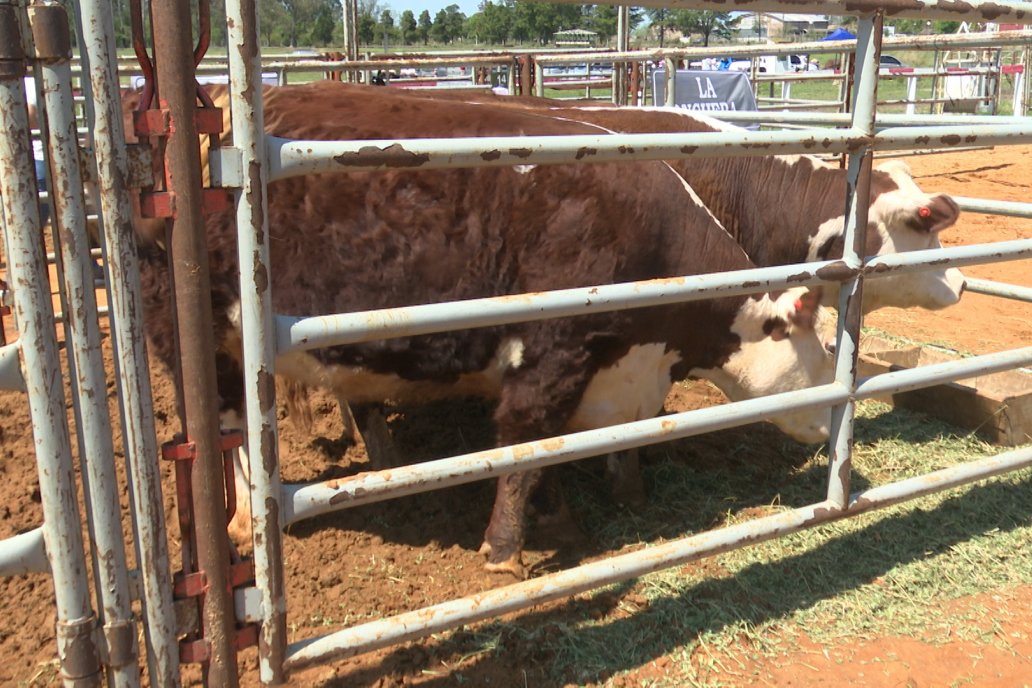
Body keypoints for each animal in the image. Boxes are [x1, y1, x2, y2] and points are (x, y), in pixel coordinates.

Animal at [131, 82, 837, 581]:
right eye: (829, 353)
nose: (836, 424)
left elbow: (555, 451)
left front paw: (565, 515)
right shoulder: (551, 354)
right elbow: (524, 444)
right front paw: (505, 551)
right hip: (192, 334)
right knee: (225, 426)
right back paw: (246, 521)